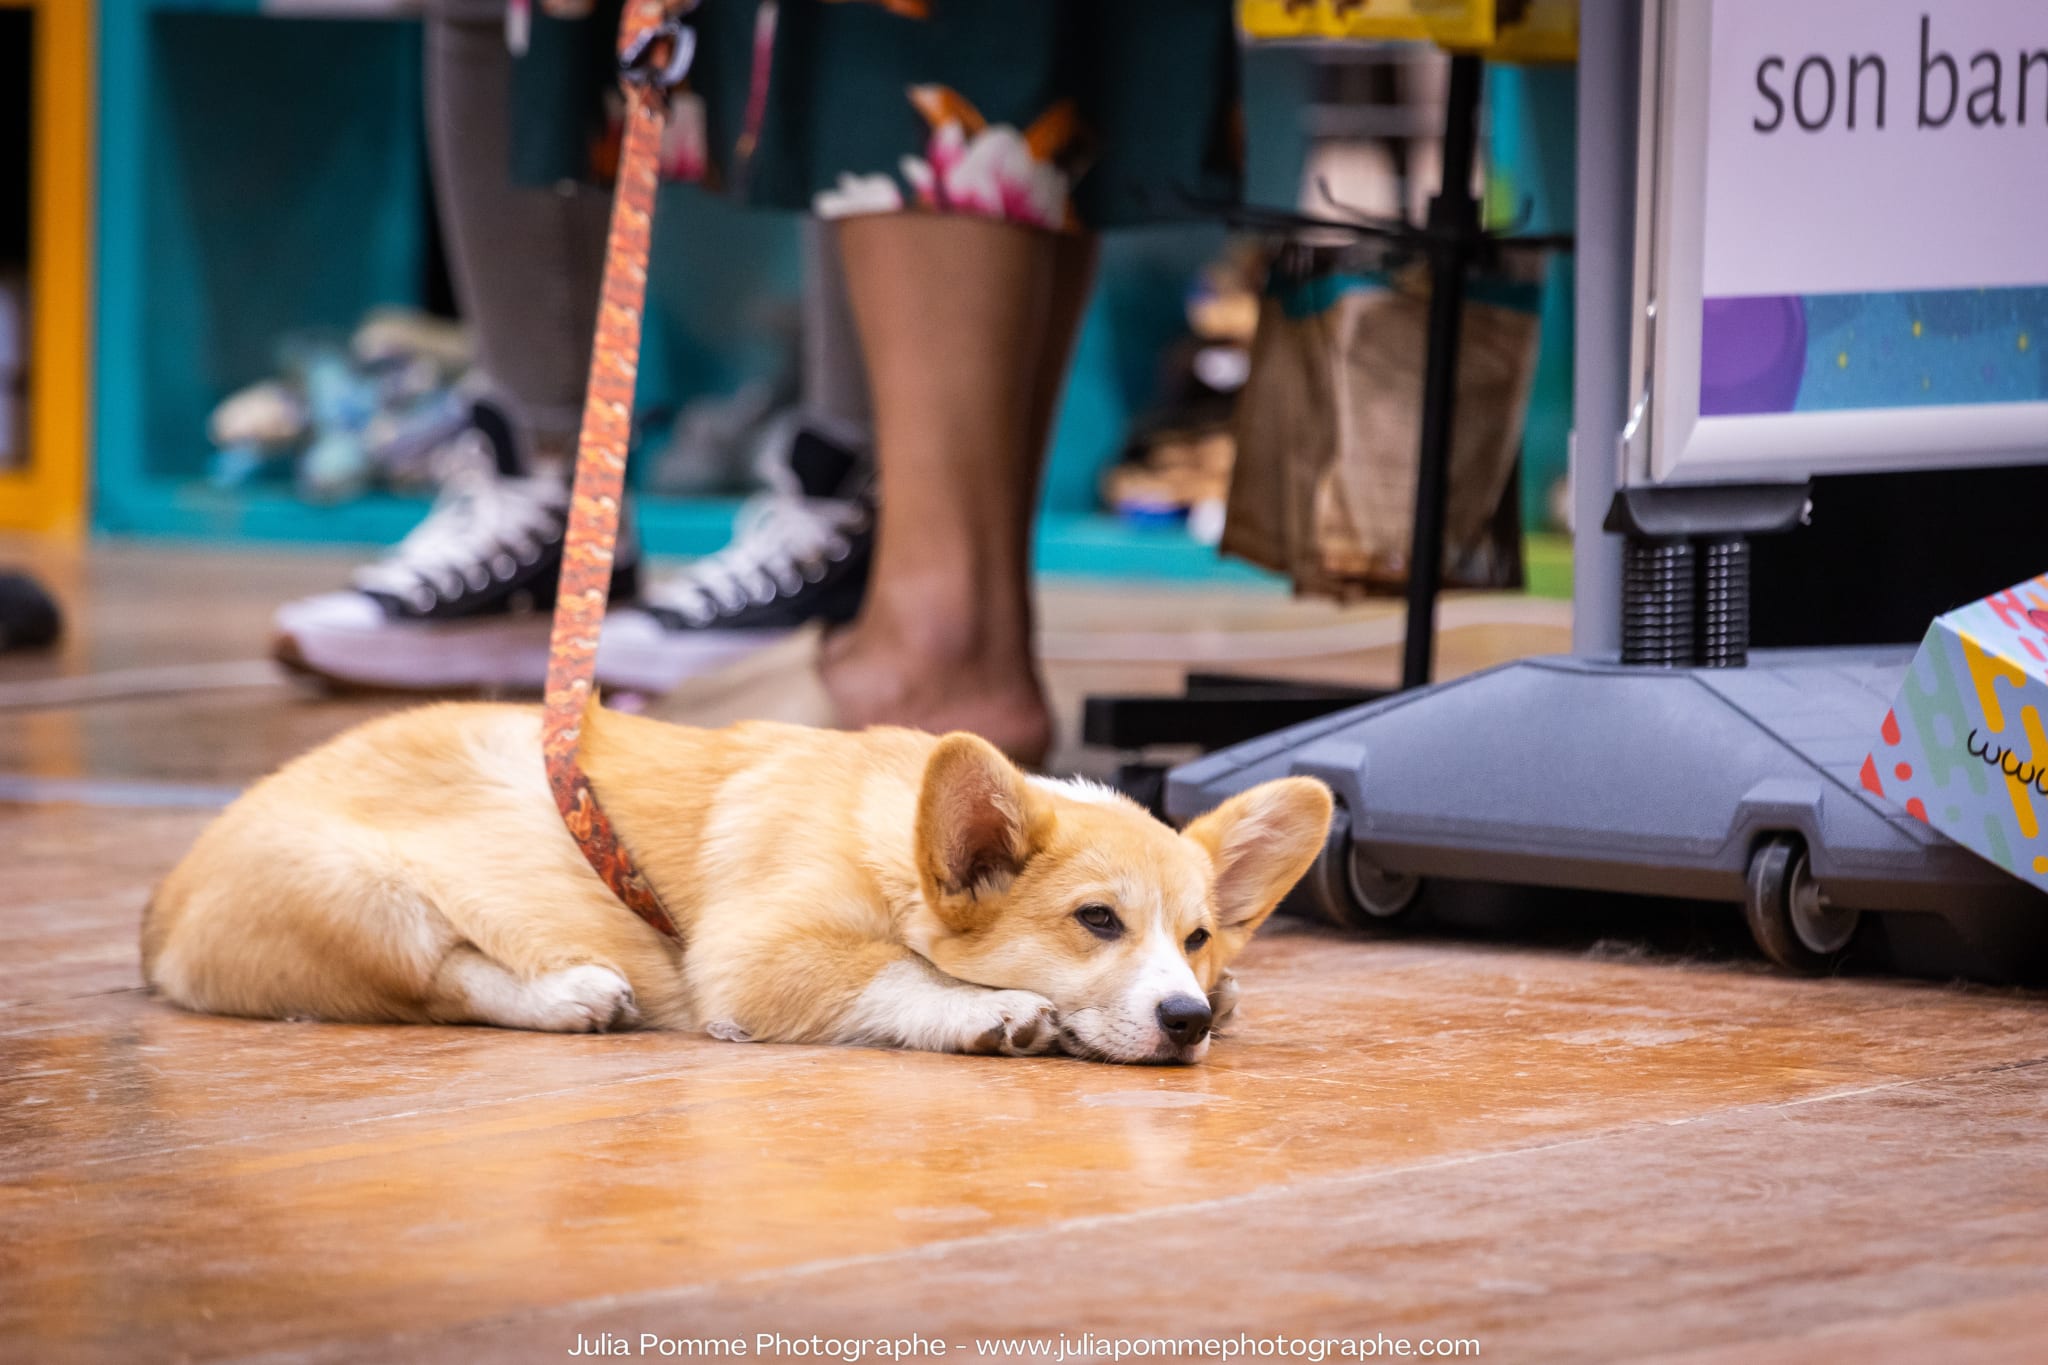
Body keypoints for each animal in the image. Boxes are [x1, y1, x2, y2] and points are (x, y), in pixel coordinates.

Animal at [140, 703, 1327, 1064]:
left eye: (1200, 936)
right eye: (1095, 921)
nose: (1183, 1018)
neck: (887, 842)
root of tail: (158, 903)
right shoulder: (756, 957)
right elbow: (897, 978)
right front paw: (986, 1011)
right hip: (371, 901)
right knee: (449, 984)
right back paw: (571, 994)